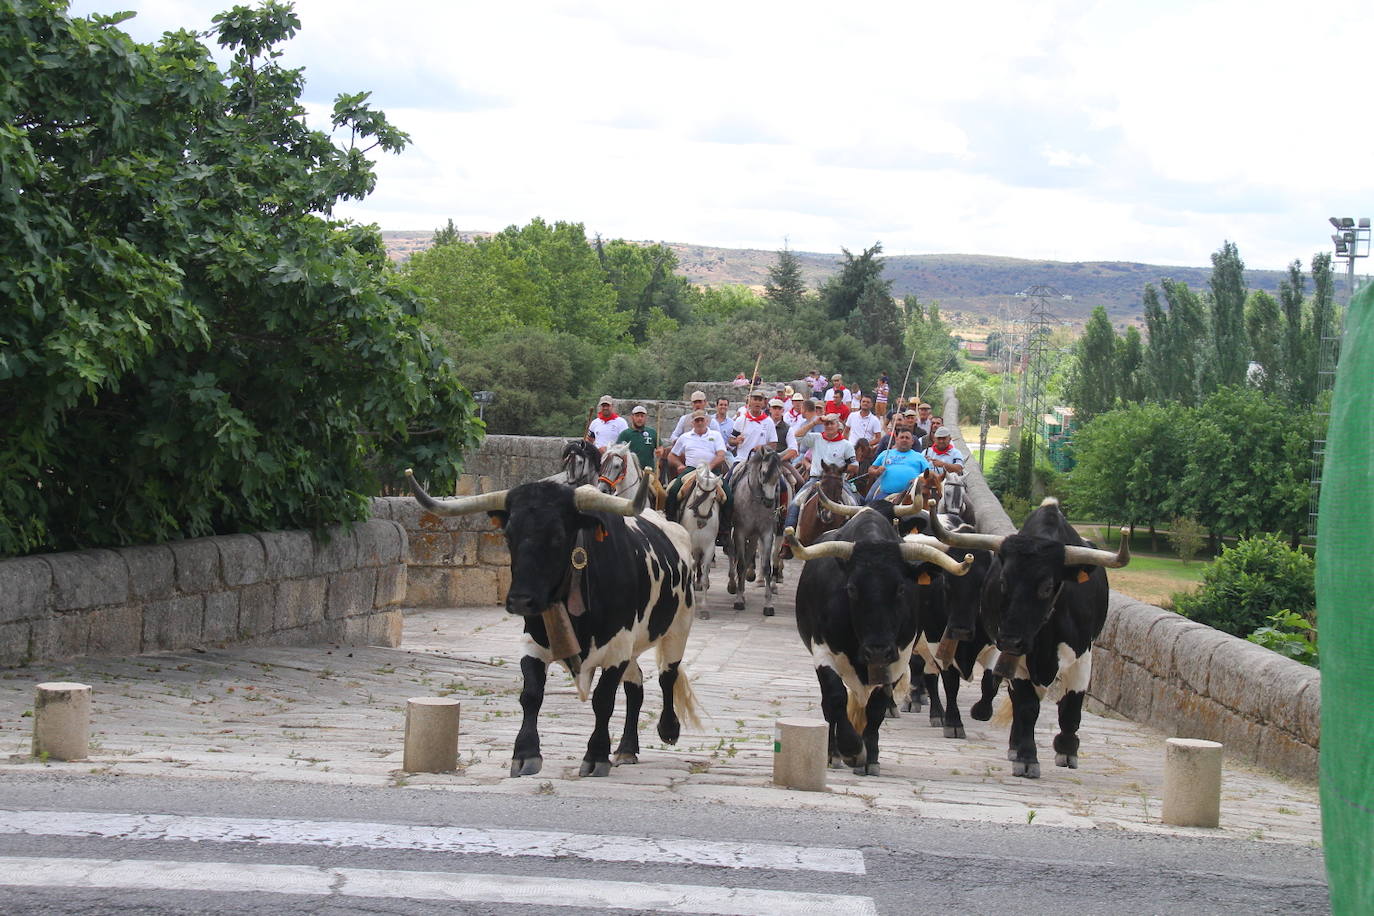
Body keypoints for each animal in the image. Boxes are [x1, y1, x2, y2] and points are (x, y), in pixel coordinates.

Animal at [398, 472, 697, 780]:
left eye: (558, 536)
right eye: (508, 535)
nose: (520, 600)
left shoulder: (617, 647)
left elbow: (603, 700)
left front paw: (596, 755)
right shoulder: (534, 643)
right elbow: (531, 695)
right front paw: (525, 754)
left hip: (678, 626)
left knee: (666, 676)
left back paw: (668, 729)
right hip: (634, 645)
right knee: (635, 685)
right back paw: (626, 748)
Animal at [785, 513, 978, 780]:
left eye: (901, 588)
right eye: (852, 588)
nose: (877, 650)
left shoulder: (897, 658)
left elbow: (877, 708)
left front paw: (870, 758)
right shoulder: (823, 651)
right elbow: (835, 698)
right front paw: (852, 749)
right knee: (830, 705)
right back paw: (833, 754)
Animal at [923, 497, 1126, 780]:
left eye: (1047, 587)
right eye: (1002, 582)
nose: (1010, 640)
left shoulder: (1082, 657)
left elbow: (1071, 708)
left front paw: (1067, 749)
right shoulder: (1014, 658)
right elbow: (1026, 706)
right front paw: (1027, 757)